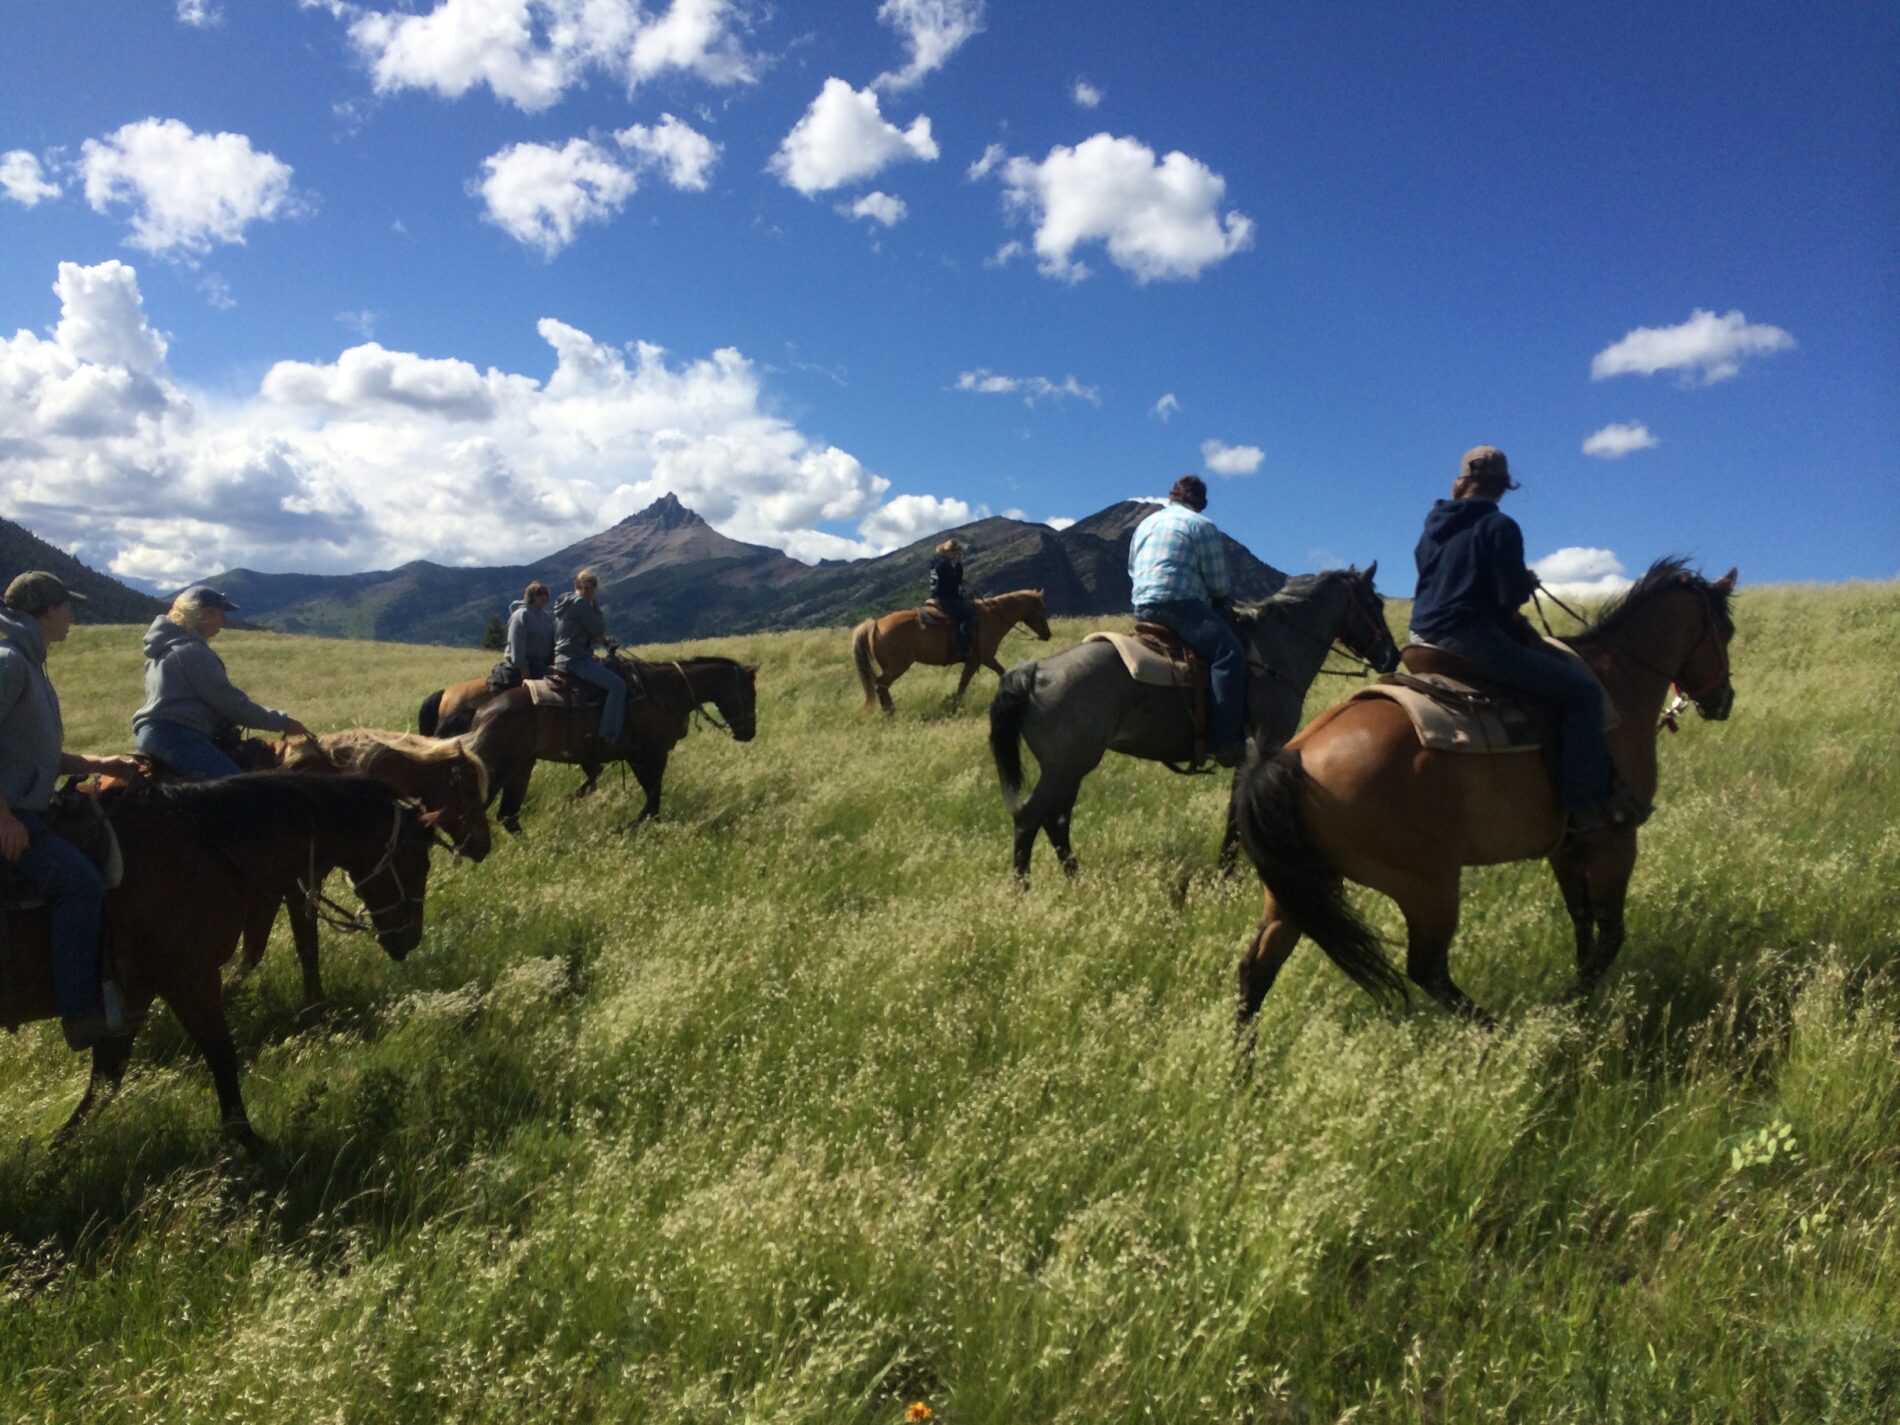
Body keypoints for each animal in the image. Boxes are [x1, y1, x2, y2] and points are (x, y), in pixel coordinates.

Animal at [0, 775, 446, 1147]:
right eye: (420, 861)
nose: (410, 938)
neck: (200, 847)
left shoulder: (135, 994)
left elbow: (105, 1082)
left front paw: (58, 1156)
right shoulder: (189, 978)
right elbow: (222, 1056)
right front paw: (250, 1144)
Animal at [465, 657, 756, 836]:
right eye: (749, 693)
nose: (749, 733)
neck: (665, 691)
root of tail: (482, 714)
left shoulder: (637, 756)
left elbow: (651, 797)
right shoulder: (653, 754)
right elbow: (653, 797)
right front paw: (628, 827)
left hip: (520, 768)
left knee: (508, 816)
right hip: (497, 768)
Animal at [851, 585, 1056, 714]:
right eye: (1041, 610)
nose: (1047, 634)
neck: (991, 617)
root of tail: (875, 623)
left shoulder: (983, 660)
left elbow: (998, 673)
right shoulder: (981, 659)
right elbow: (965, 683)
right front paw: (953, 706)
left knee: (881, 686)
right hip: (897, 667)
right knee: (880, 684)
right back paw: (891, 712)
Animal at [988, 566, 1406, 881]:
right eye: (1374, 603)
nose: (1392, 655)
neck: (1276, 651)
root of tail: (1035, 671)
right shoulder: (1263, 746)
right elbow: (1238, 815)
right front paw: (1227, 874)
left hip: (1069, 769)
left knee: (1055, 821)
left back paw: (1076, 879)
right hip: (1065, 768)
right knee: (1029, 819)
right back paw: (1021, 892)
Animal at [1231, 562, 1740, 1041]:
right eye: (1727, 631)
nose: (1723, 701)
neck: (1616, 683)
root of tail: (1292, 757)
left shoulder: (1566, 846)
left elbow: (1581, 925)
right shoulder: (1615, 840)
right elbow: (1610, 935)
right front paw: (1570, 1008)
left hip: (1298, 888)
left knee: (1257, 968)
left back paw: (1242, 1068)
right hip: (1427, 887)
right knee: (1427, 969)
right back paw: (1497, 1033)